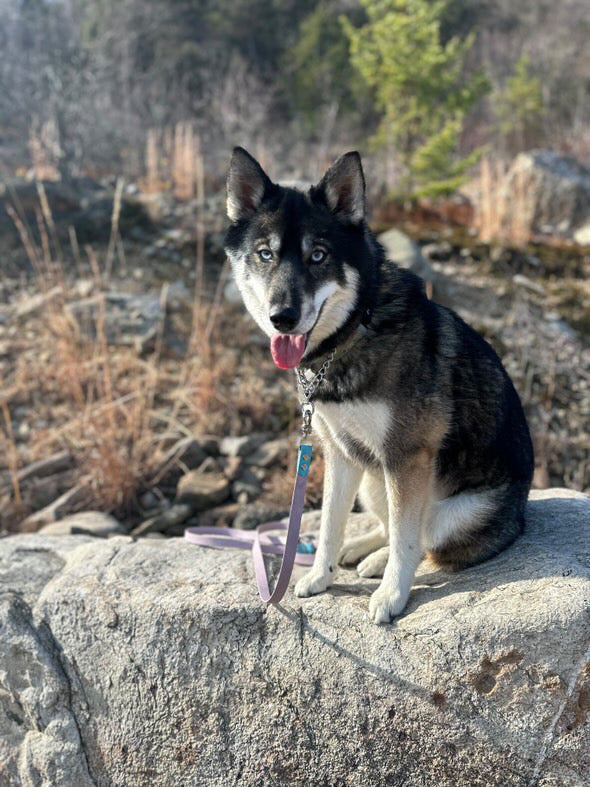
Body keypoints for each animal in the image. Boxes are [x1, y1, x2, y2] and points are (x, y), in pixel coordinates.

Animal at [223, 148, 536, 624]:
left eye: (318, 255)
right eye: (264, 254)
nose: (283, 318)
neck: (356, 327)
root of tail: (522, 514)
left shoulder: (406, 458)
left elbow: (408, 542)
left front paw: (392, 595)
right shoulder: (339, 455)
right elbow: (330, 525)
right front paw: (320, 574)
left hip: (449, 511)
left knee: (426, 539)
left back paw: (378, 562)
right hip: (372, 481)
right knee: (390, 523)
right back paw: (364, 550)